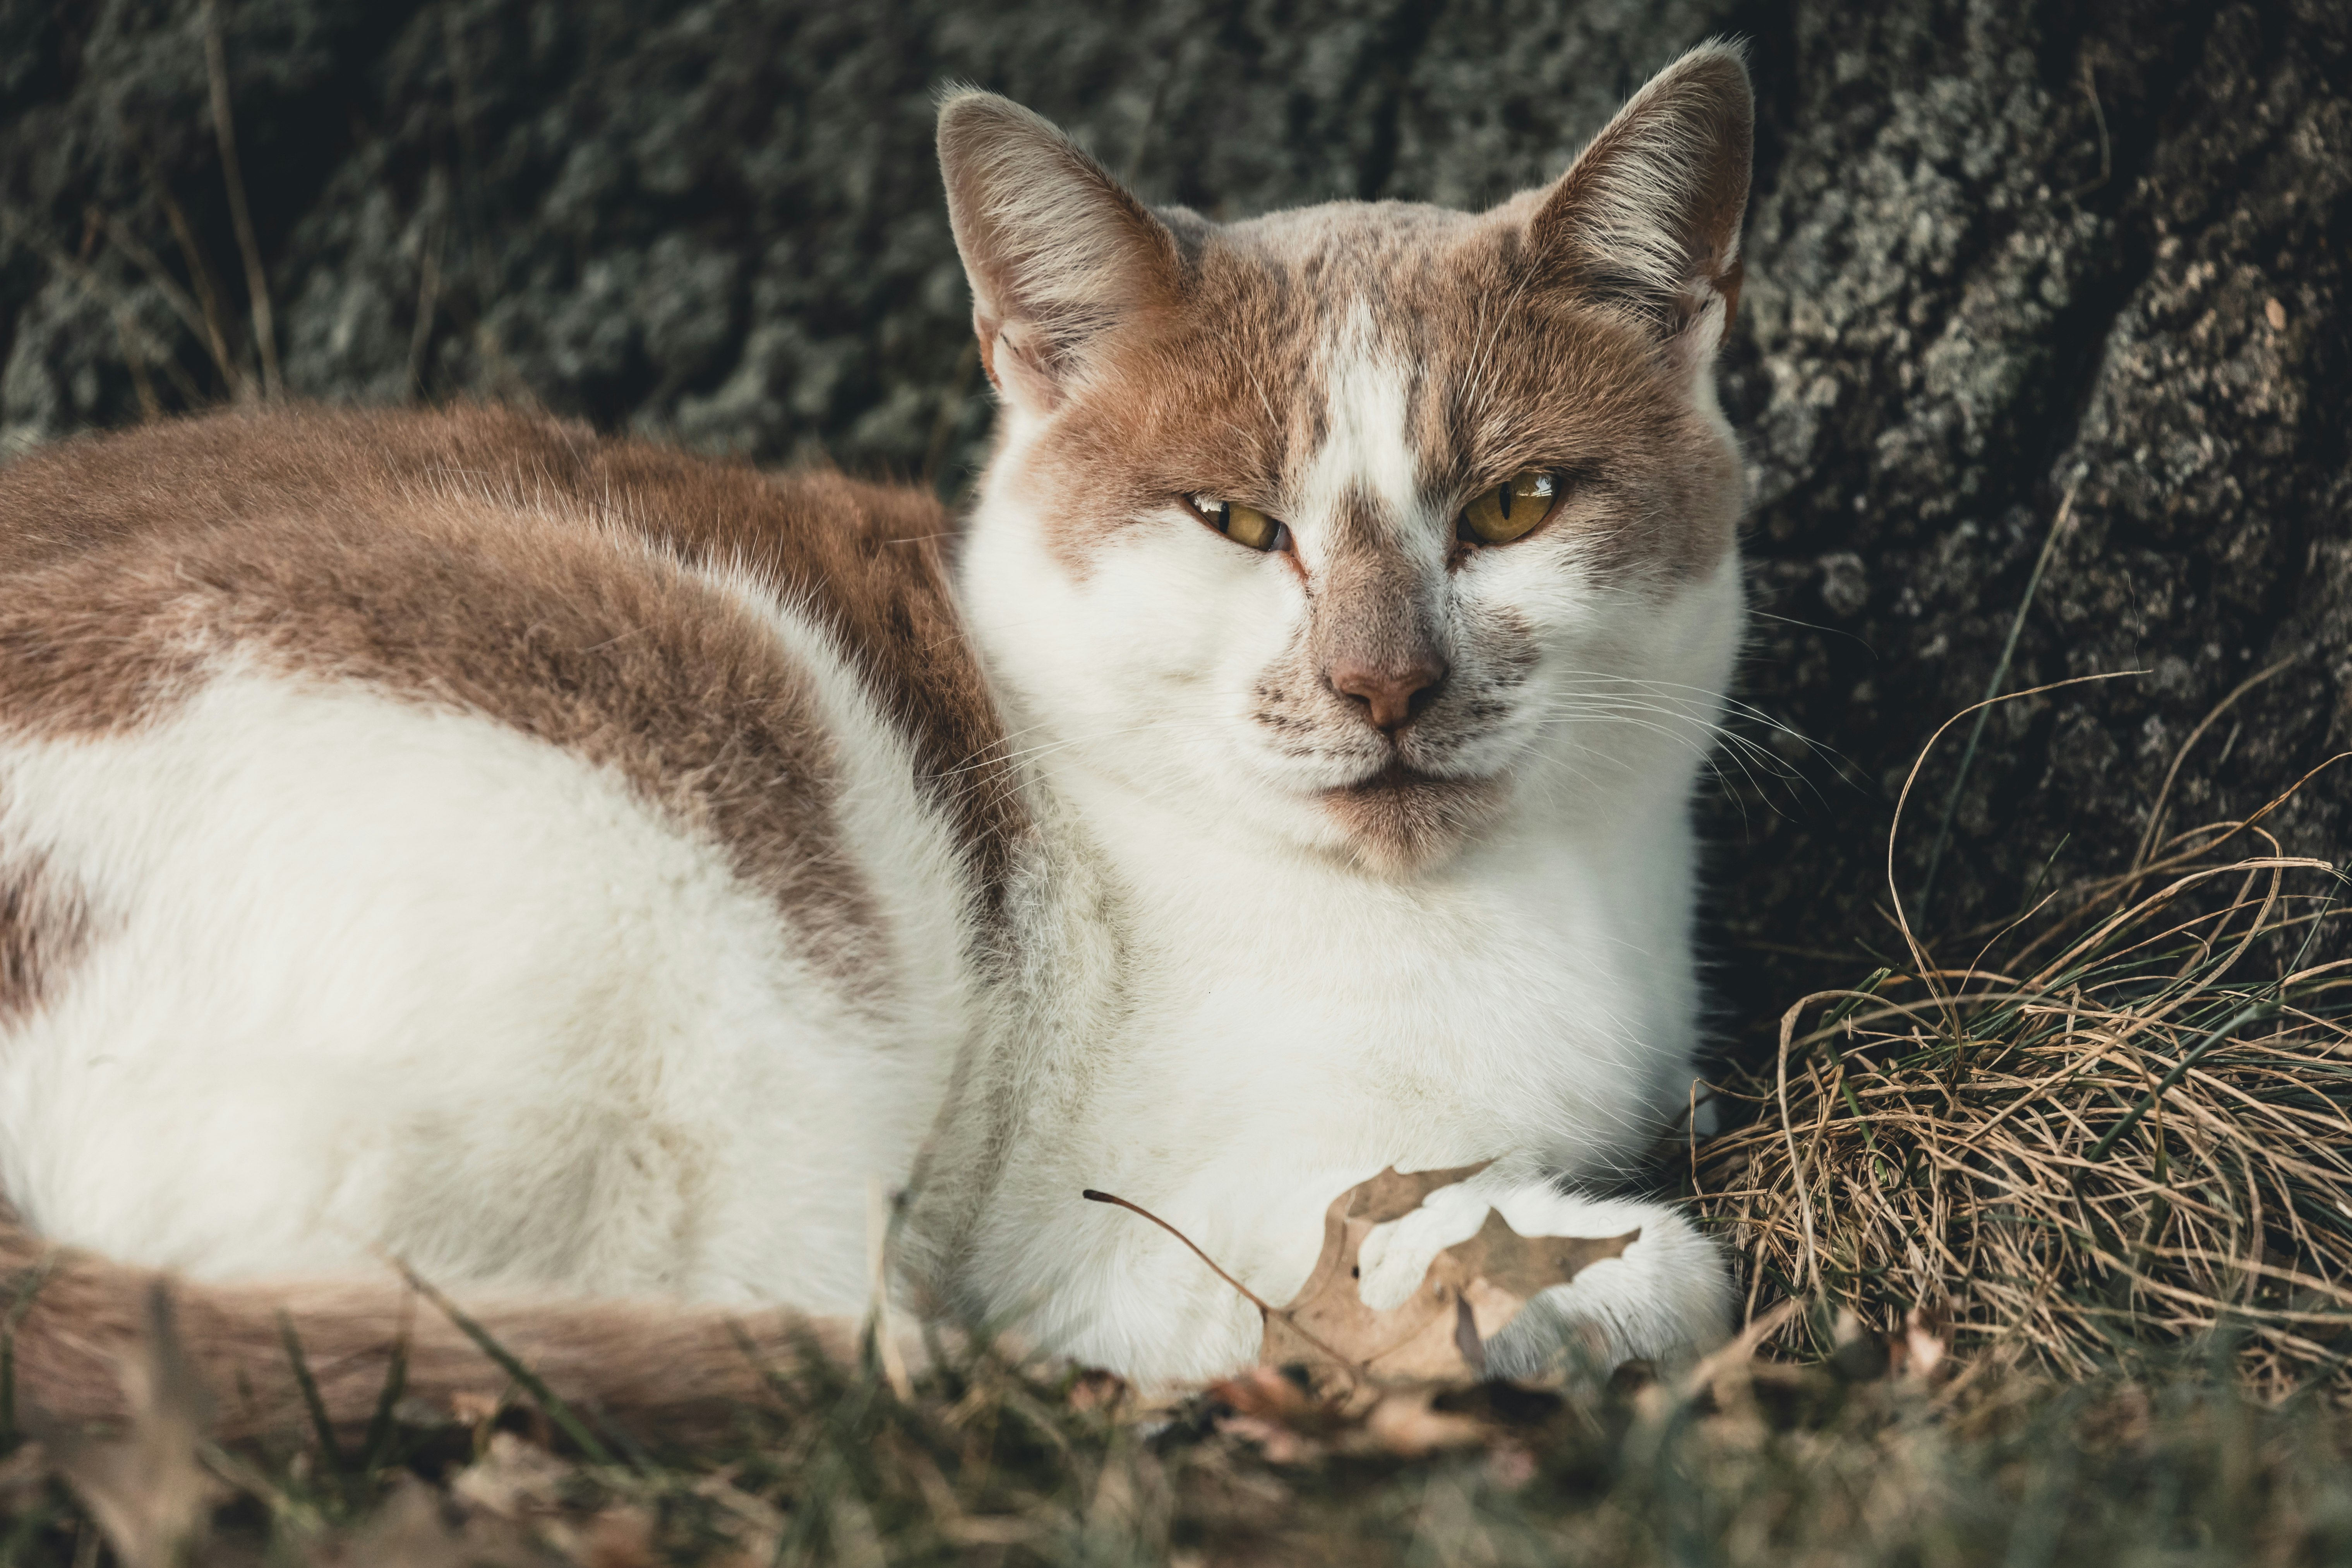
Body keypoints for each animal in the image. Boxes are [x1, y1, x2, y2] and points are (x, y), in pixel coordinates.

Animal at [0, 40, 1750, 1420]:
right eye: (1237, 522)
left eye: (1515, 506)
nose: (1382, 684)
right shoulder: (1111, 1216)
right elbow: (1552, 1265)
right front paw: (1577, 1283)